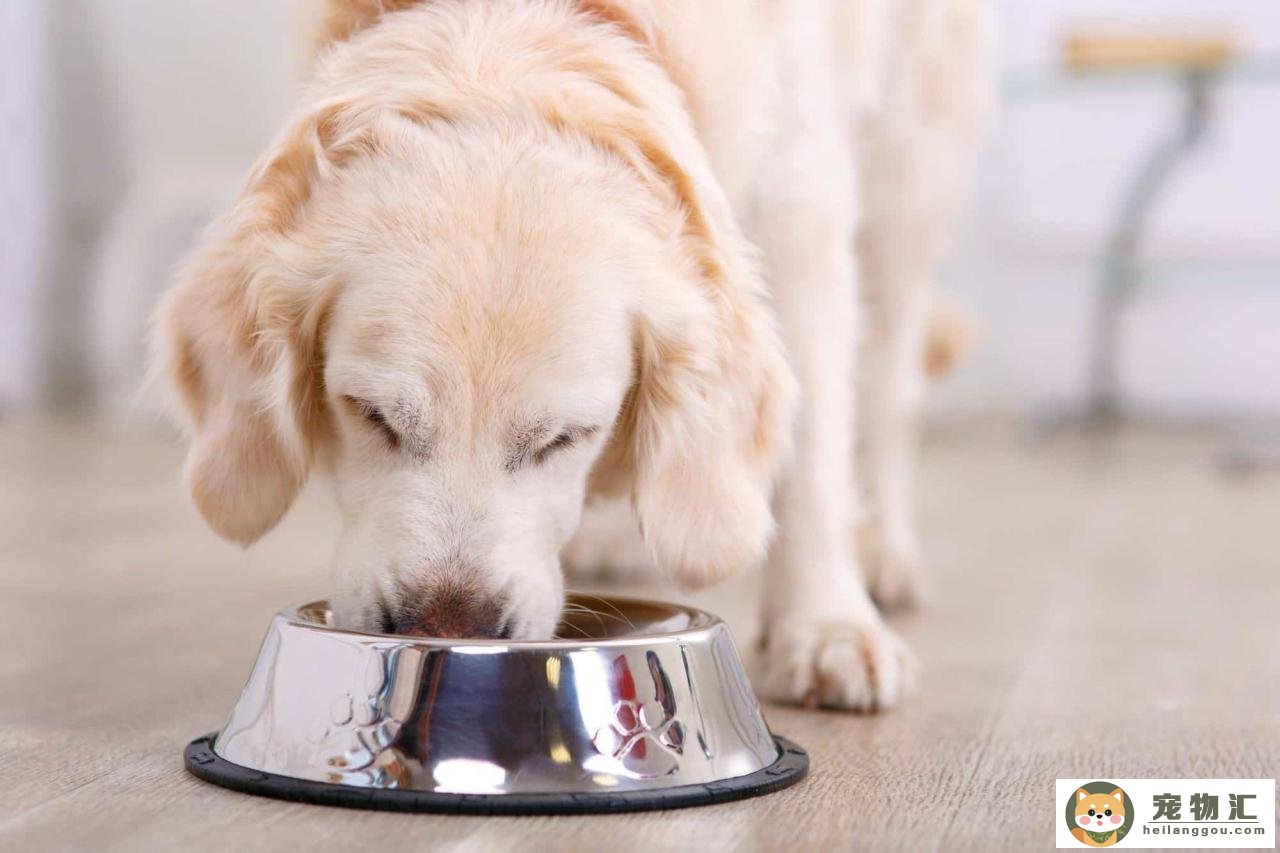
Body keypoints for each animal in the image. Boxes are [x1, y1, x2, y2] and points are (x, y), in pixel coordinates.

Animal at [152, 0, 988, 706]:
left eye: (566, 437)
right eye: (372, 415)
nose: (449, 631)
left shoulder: (801, 198)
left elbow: (813, 446)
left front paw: (826, 626)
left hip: (910, 171)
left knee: (887, 387)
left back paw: (884, 553)